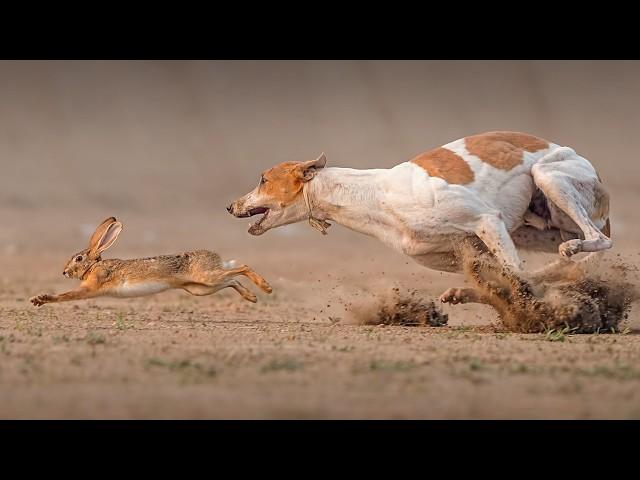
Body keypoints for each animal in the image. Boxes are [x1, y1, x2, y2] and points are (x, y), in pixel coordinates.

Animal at [228, 130, 612, 304]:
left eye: (263, 179)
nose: (230, 207)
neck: (378, 195)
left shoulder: (486, 220)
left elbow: (516, 276)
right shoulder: (467, 250)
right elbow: (506, 277)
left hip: (549, 178)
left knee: (599, 240)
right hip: (533, 230)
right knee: (561, 263)